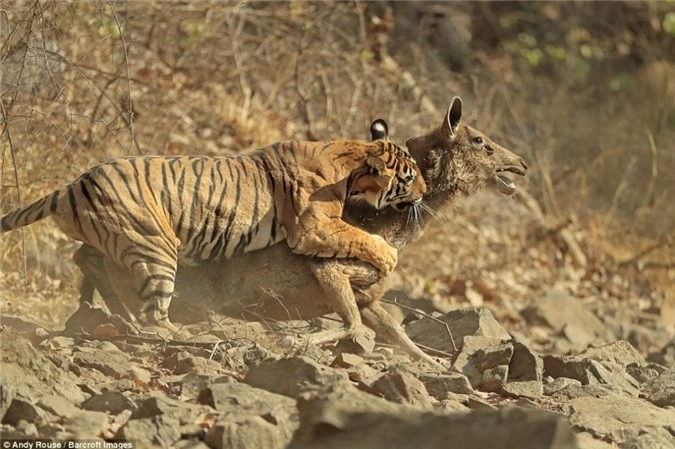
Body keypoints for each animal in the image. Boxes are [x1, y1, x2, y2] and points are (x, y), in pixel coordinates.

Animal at [1, 136, 428, 332]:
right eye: (410, 177)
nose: (424, 192)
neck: (352, 158)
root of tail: (72, 185)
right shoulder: (314, 228)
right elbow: (364, 238)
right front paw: (390, 257)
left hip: (121, 239)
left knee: (85, 259)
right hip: (157, 247)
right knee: (154, 314)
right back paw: (182, 331)